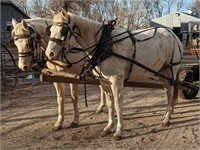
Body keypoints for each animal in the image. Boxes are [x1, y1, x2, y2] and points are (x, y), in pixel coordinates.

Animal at [45, 9, 183, 140]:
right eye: (50, 30)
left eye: (63, 30)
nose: (49, 54)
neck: (105, 44)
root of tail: (174, 36)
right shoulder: (104, 81)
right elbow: (110, 104)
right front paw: (109, 127)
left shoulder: (116, 80)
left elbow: (118, 105)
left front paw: (118, 131)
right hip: (162, 73)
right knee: (167, 91)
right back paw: (168, 114)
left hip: (171, 70)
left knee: (170, 94)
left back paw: (167, 119)